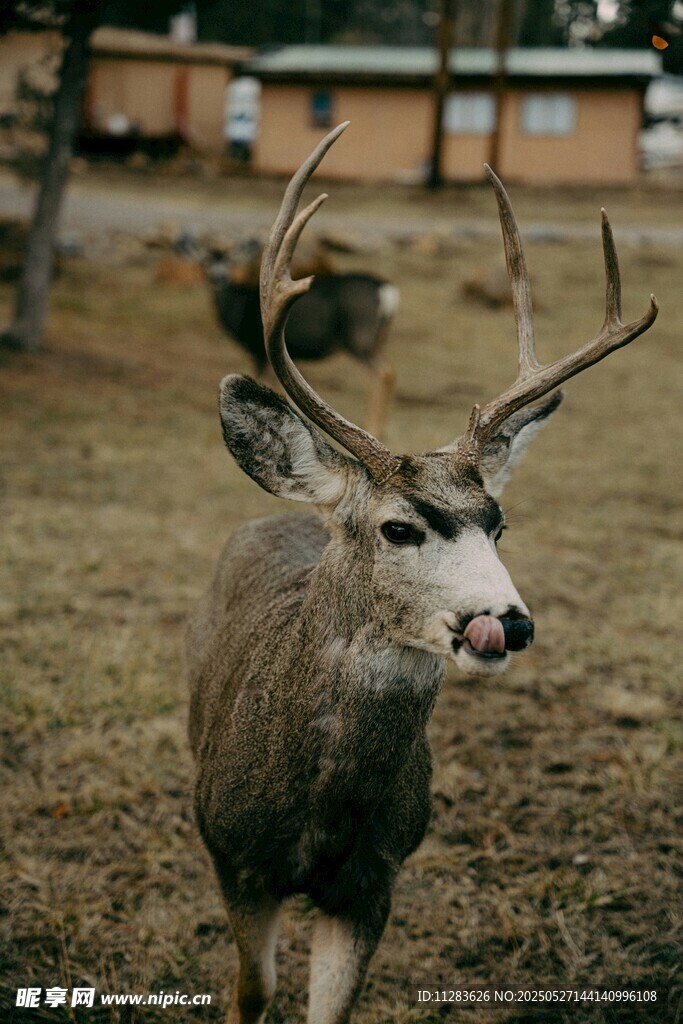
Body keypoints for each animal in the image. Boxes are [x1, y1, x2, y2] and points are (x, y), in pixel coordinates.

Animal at [204, 237, 398, 438]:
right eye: (206, 259)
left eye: (231, 259)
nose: (217, 277)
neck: (237, 305)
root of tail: (388, 292)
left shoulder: (260, 352)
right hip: (377, 340)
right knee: (385, 373)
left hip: (359, 339)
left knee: (382, 373)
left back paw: (373, 426)